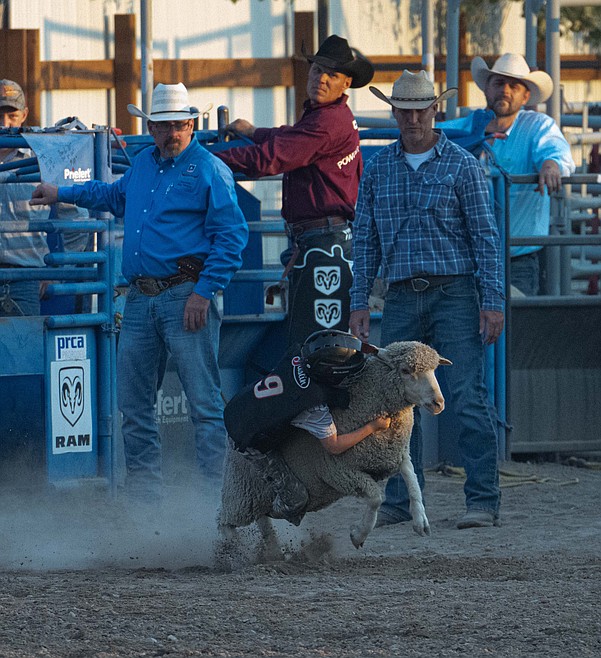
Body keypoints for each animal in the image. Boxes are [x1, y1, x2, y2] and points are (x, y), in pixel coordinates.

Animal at [218, 340, 448, 556]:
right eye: (405, 371)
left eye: (434, 369)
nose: (438, 403)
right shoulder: (338, 470)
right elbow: (375, 498)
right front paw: (358, 535)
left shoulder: (396, 454)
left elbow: (412, 480)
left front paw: (420, 521)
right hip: (244, 487)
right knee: (226, 520)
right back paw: (233, 551)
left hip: (255, 494)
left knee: (263, 520)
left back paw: (273, 550)